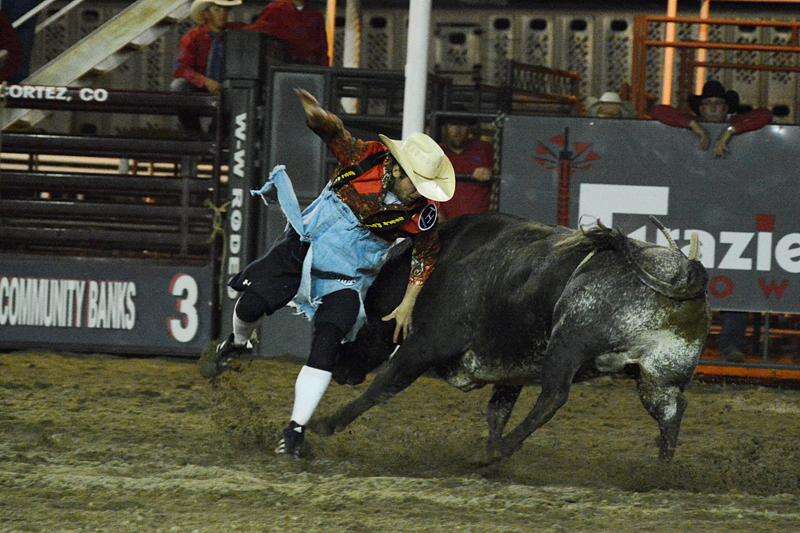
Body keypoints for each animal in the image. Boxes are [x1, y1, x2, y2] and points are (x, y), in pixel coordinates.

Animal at [310, 212, 708, 462]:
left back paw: (500, 454)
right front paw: (491, 445)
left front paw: (324, 424)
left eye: (363, 320)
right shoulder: (510, 372)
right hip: (658, 377)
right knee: (671, 411)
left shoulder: (427, 343)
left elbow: (384, 386)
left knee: (553, 396)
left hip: (569, 339)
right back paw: (661, 469)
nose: (341, 368)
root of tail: (685, 275)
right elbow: (496, 412)